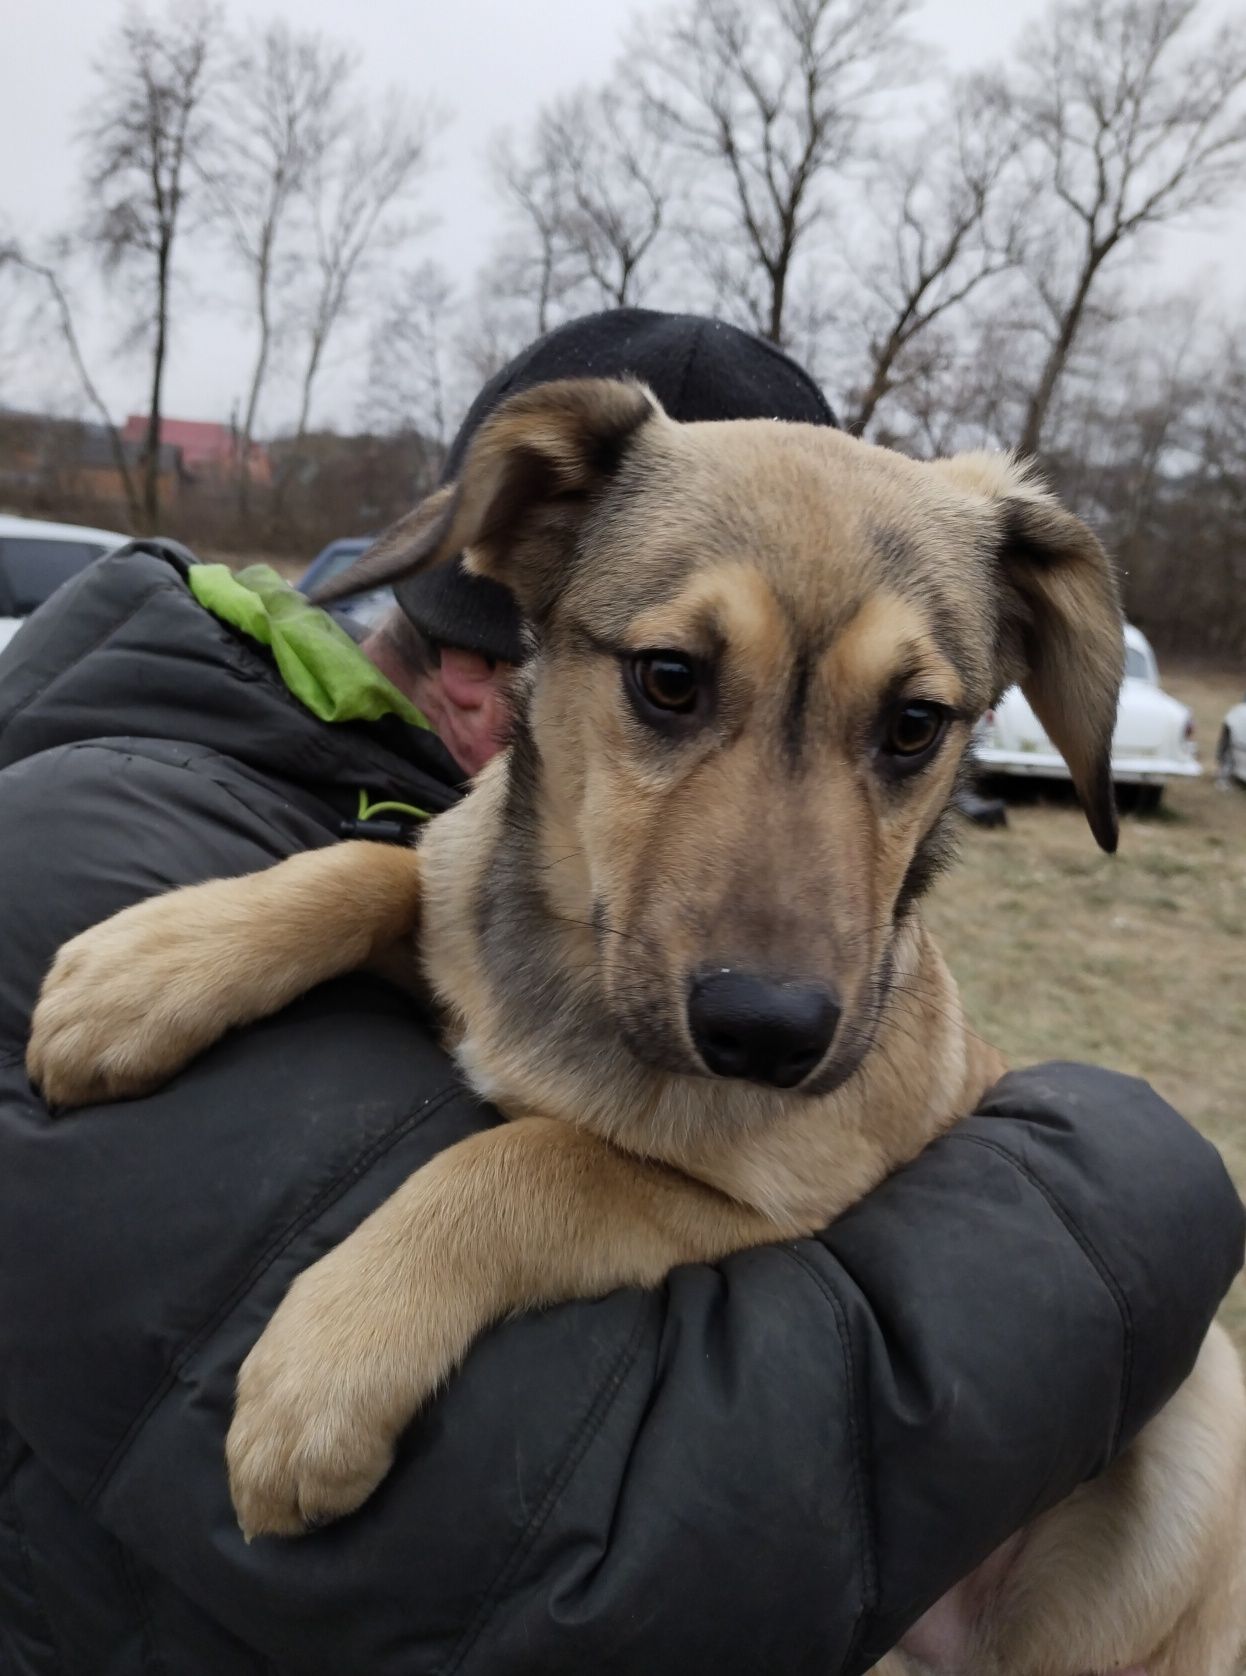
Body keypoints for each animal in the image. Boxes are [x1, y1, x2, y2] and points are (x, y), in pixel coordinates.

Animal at [29, 383, 1246, 1676]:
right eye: (668, 677)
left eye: (916, 725)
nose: (771, 1037)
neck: (575, 985)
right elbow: (382, 867)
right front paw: (147, 968)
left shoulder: (770, 1205)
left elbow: (536, 1152)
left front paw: (327, 1363)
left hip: (1194, 1434)